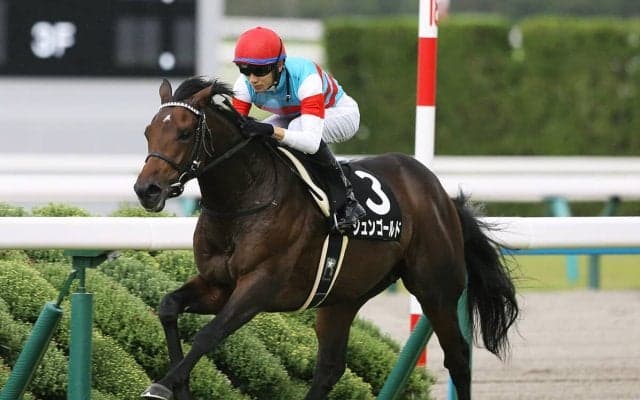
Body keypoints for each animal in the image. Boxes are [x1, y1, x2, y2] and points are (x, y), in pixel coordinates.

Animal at [133, 76, 519, 400]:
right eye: (148, 131)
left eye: (184, 133)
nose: (146, 190)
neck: (246, 199)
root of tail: (441, 195)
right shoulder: (218, 284)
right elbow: (168, 307)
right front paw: (180, 386)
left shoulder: (259, 286)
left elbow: (207, 335)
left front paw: (162, 386)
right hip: (342, 298)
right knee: (330, 369)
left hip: (435, 289)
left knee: (458, 358)